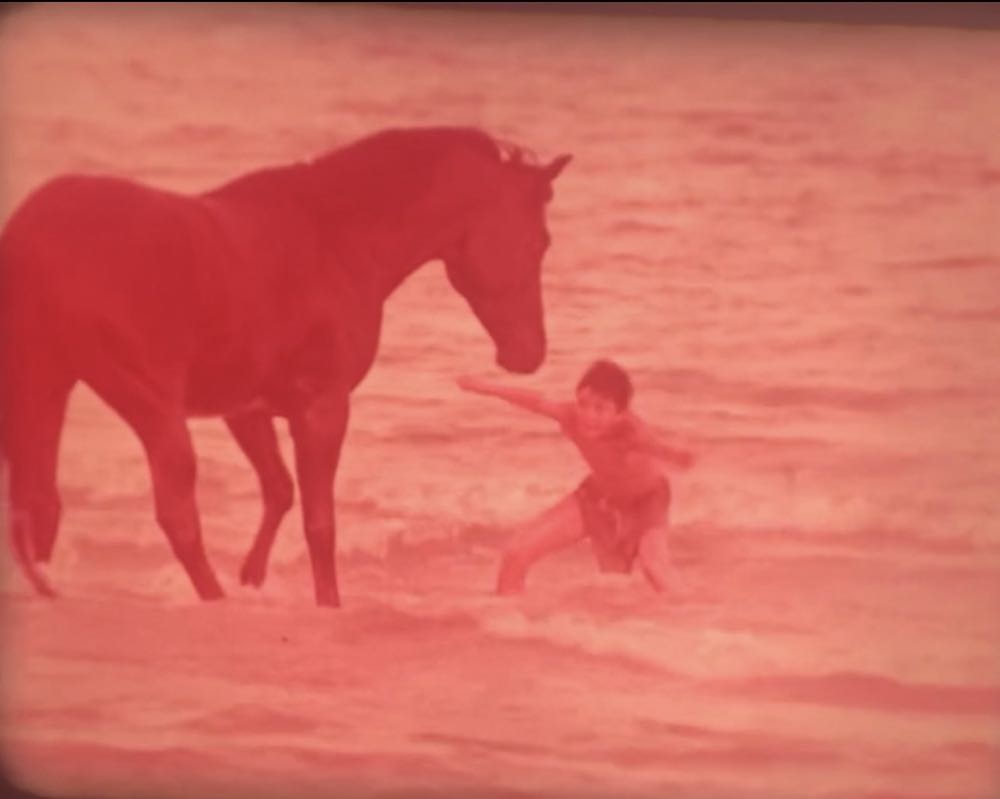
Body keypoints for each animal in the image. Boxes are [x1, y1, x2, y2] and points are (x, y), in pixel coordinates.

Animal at [0, 126, 572, 606]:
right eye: (539, 242)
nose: (530, 354)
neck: (336, 238)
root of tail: (30, 235)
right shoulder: (323, 407)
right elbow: (320, 523)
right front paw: (327, 604)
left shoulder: (247, 407)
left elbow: (278, 490)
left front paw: (253, 575)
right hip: (146, 404)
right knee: (174, 516)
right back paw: (213, 600)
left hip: (45, 389)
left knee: (40, 504)